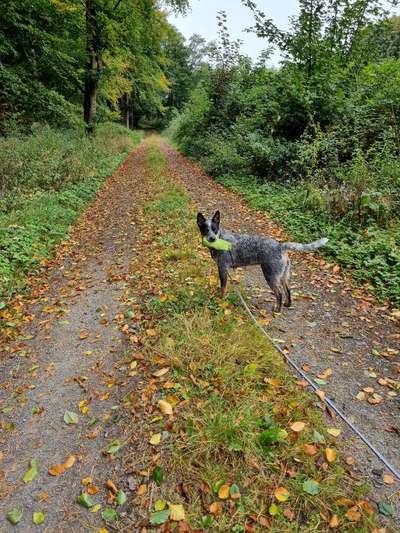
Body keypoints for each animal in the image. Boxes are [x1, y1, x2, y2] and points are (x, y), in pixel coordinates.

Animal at [197, 210, 328, 312]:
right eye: (205, 229)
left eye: (214, 229)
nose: (212, 239)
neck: (221, 238)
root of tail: (280, 246)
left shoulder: (223, 268)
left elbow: (223, 288)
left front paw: (220, 299)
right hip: (283, 276)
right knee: (288, 290)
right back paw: (287, 304)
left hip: (270, 276)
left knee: (279, 293)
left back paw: (277, 310)